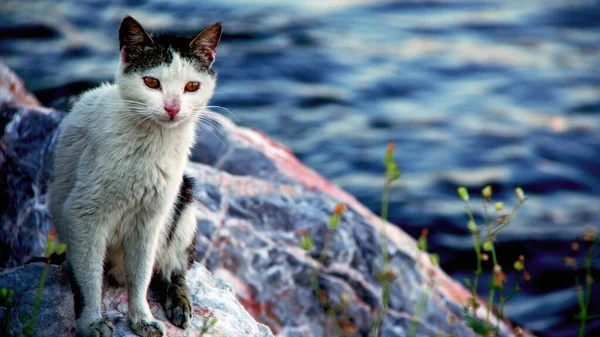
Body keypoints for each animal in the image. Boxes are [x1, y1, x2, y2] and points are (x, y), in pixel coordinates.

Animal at [46, 15, 220, 336]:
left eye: (192, 86)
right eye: (151, 82)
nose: (173, 108)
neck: (150, 145)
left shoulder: (151, 219)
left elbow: (141, 274)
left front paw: (142, 318)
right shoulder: (83, 215)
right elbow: (88, 278)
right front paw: (91, 322)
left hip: (184, 203)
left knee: (174, 270)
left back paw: (180, 306)